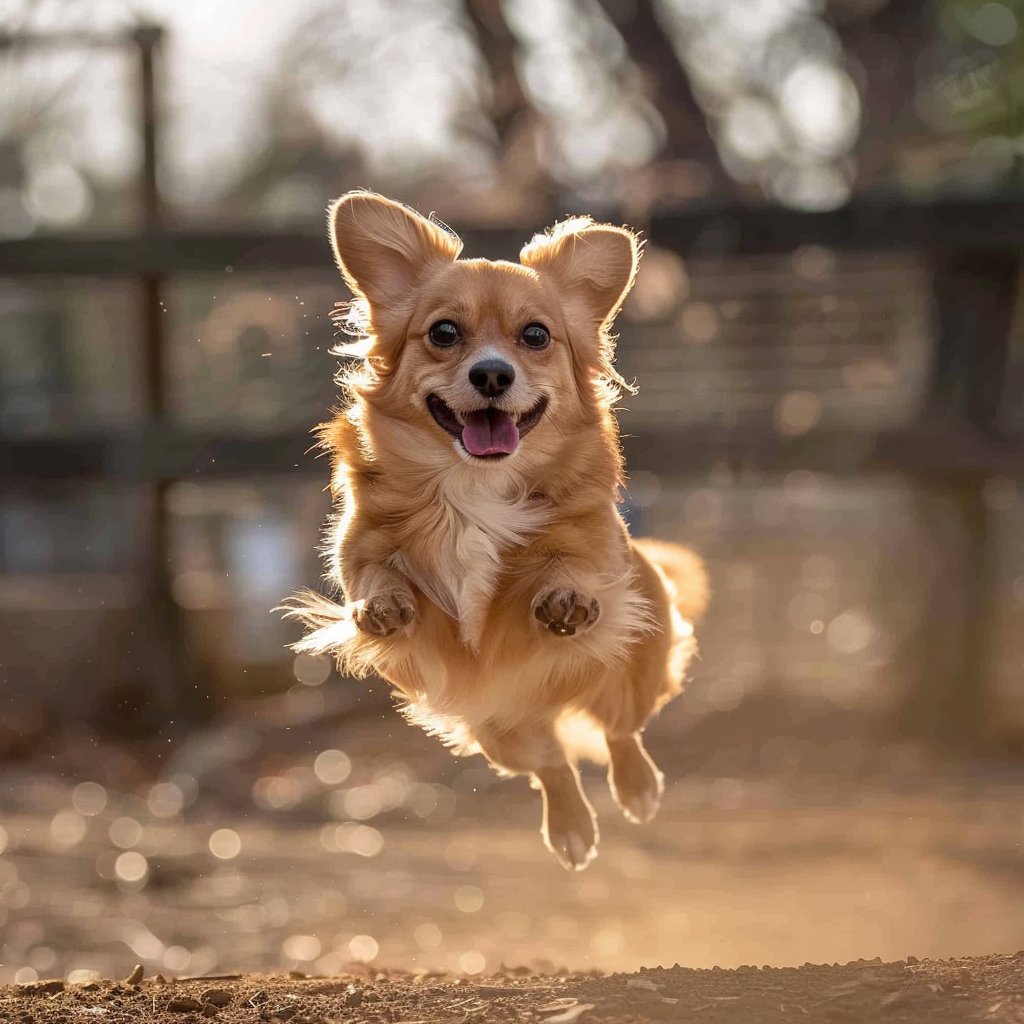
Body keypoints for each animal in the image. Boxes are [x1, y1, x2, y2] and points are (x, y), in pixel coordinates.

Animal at [284, 188, 708, 868]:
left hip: (631, 668)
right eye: (443, 333)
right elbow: (374, 573)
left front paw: (564, 599)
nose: (491, 374)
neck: (474, 486)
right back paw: (571, 827)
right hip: (497, 725)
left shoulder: (593, 551)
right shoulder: (363, 548)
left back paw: (637, 786)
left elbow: (570, 562)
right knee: (552, 763)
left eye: (536, 335)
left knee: (620, 730)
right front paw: (384, 606)